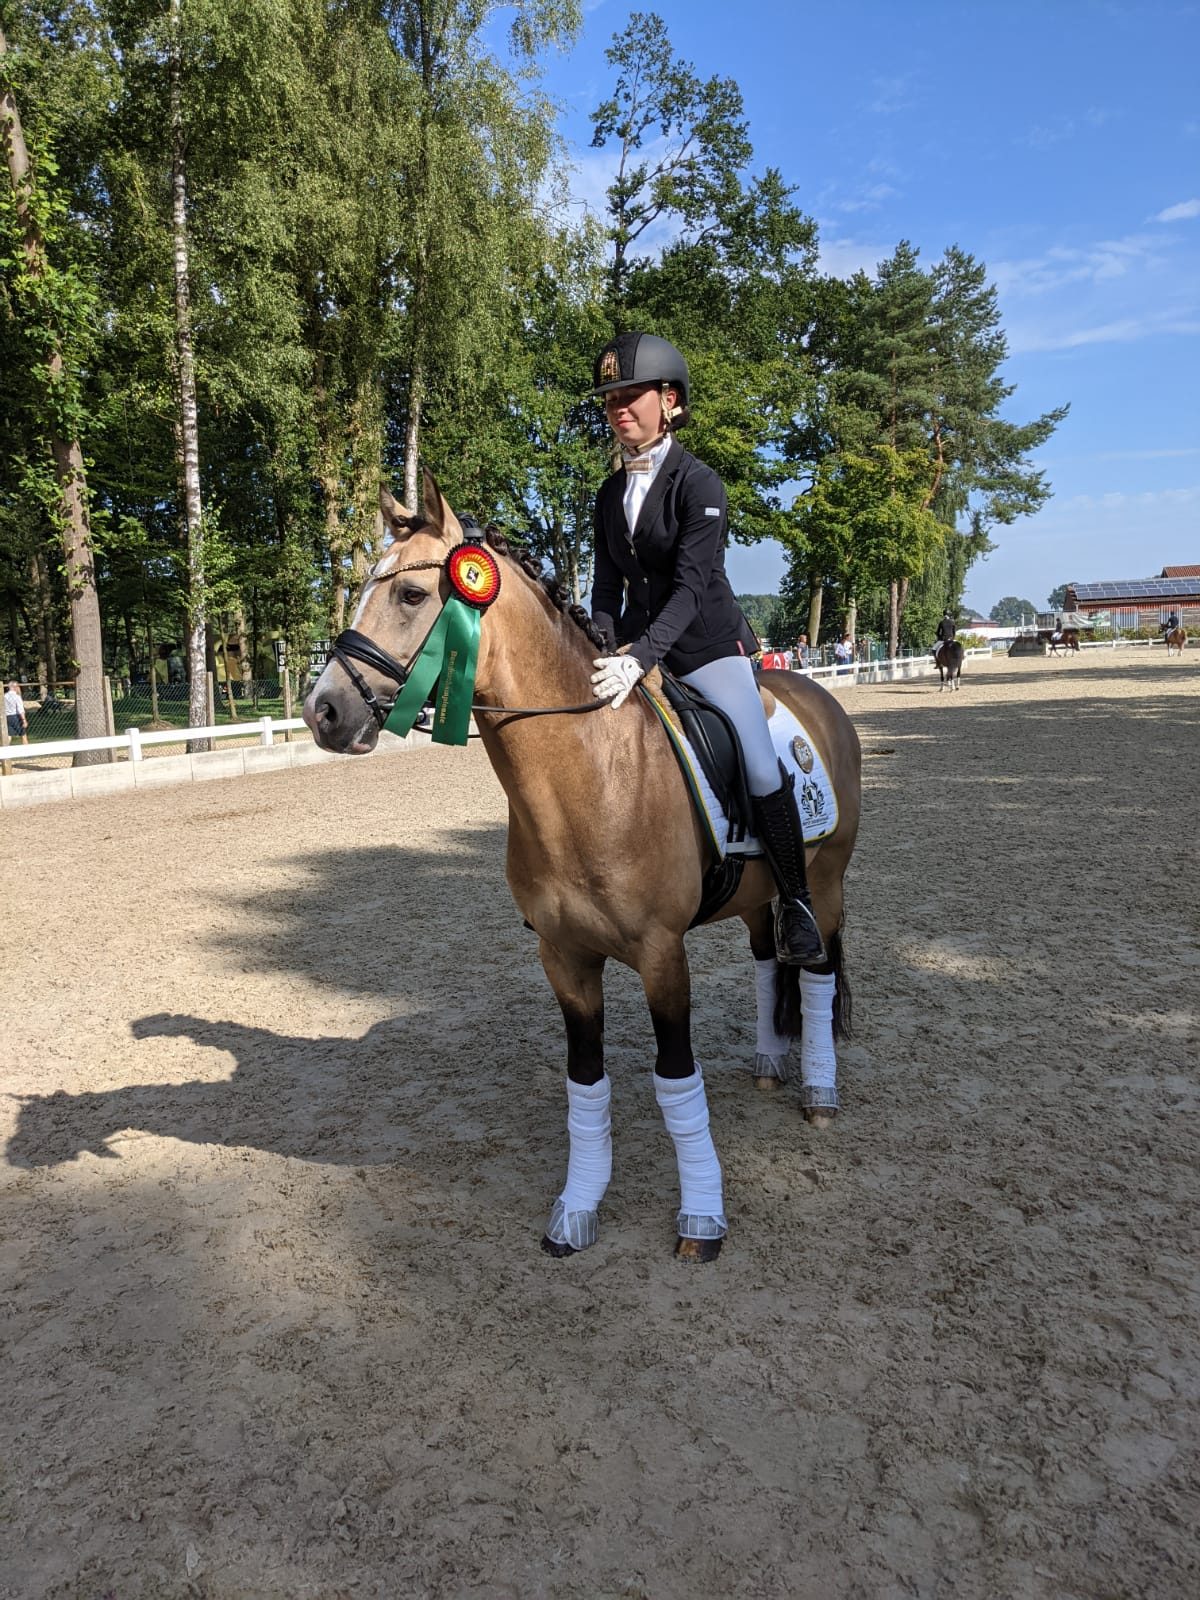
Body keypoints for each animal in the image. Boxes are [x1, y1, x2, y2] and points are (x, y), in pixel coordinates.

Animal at [304, 471, 862, 1263]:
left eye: (411, 595)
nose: (322, 711)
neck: (593, 776)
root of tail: (816, 694)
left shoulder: (662, 957)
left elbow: (675, 1081)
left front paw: (702, 1219)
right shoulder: (563, 958)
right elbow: (586, 1083)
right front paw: (577, 1210)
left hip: (827, 882)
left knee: (815, 971)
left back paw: (819, 1092)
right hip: (760, 896)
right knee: (765, 962)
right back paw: (767, 1064)